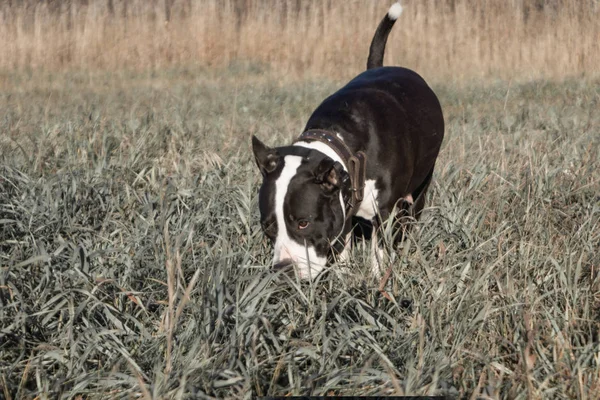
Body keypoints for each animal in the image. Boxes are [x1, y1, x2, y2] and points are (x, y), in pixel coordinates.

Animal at [251, 3, 442, 280]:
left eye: (303, 222)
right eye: (268, 227)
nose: (283, 270)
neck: (342, 142)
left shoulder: (385, 212)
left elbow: (379, 252)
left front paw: (376, 279)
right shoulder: (341, 207)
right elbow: (342, 246)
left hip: (420, 188)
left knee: (411, 216)